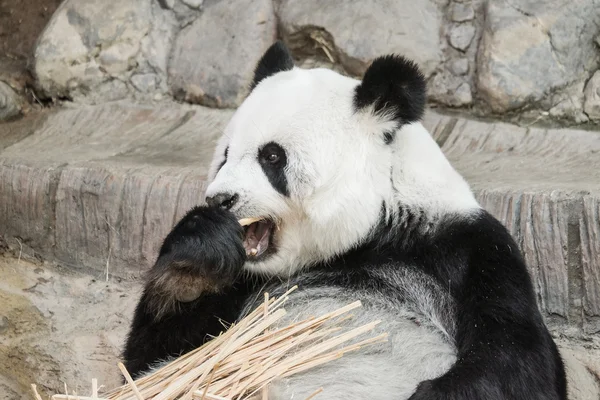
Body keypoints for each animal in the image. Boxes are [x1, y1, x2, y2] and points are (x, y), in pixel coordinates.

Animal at [123, 41, 568, 400]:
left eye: (272, 156)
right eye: (225, 156)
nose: (221, 198)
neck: (377, 230)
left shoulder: (468, 251)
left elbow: (520, 362)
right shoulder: (246, 287)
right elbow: (151, 360)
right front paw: (196, 260)